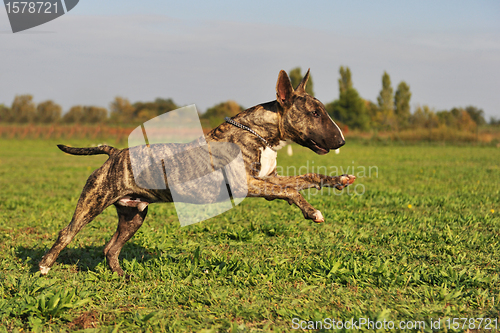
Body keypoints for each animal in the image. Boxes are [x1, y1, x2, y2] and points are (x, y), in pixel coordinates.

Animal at [39, 68, 356, 274]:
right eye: (314, 113)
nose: (342, 141)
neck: (260, 135)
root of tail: (115, 153)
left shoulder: (268, 180)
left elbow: (304, 180)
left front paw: (338, 181)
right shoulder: (250, 184)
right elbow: (291, 191)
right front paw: (313, 211)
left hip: (133, 215)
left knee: (110, 248)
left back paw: (121, 276)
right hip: (93, 202)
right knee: (66, 233)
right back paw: (44, 267)